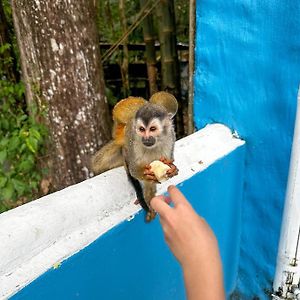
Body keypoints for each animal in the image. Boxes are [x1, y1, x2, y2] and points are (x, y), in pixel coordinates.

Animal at [91, 92, 178, 221]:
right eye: (142, 129)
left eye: (152, 129)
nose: (146, 138)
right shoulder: (133, 138)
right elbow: (133, 169)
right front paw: (145, 174)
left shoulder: (171, 136)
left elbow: (168, 160)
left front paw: (172, 169)